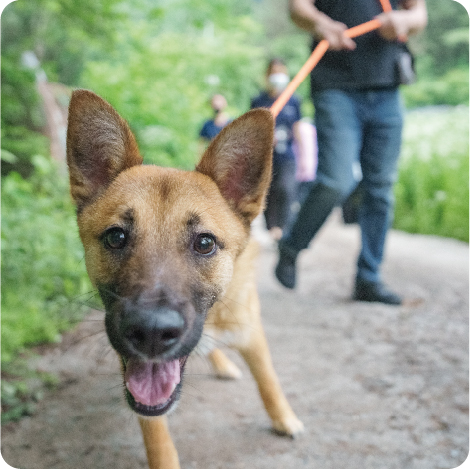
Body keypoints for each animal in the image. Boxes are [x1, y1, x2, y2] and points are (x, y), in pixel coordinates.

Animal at [66, 89, 302, 466]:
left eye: (205, 243)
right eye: (116, 237)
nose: (151, 332)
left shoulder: (252, 333)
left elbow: (269, 381)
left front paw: (284, 418)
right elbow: (156, 436)